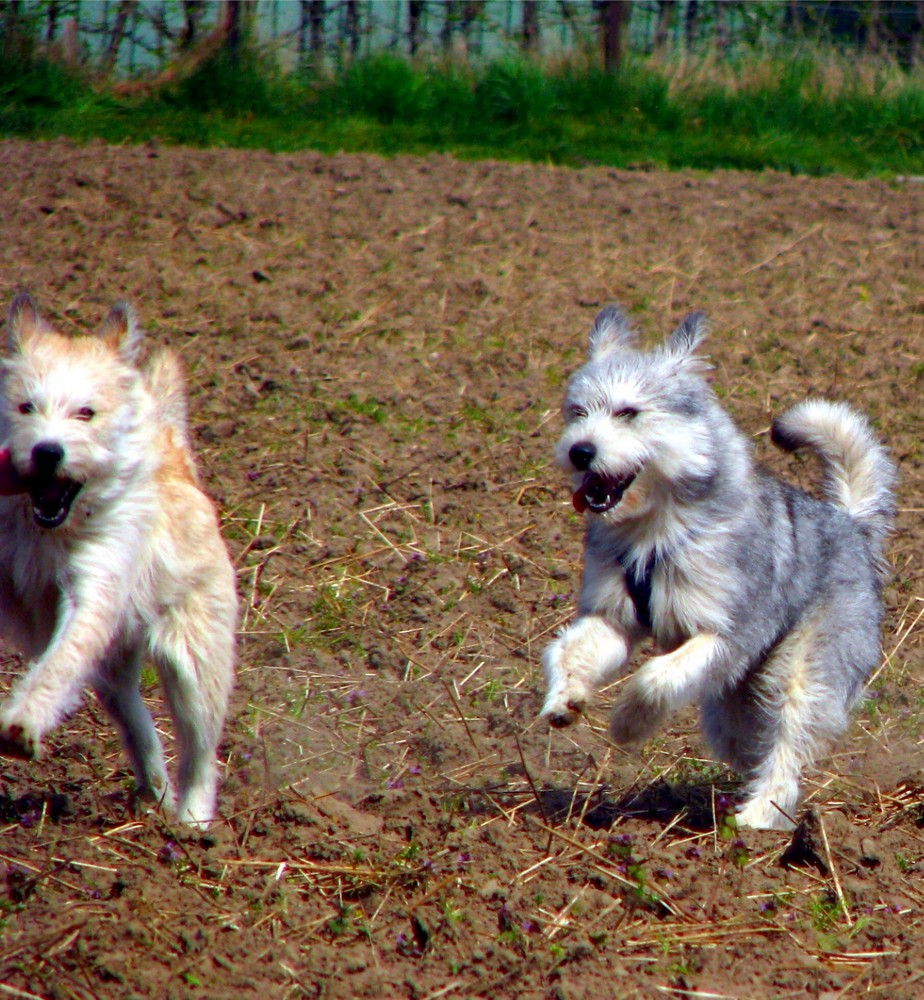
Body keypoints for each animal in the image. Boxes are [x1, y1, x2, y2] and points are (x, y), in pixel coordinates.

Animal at [0, 294, 238, 828]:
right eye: (26, 406)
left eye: (86, 413)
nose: (47, 451)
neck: (50, 529)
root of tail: (177, 458)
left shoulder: (92, 595)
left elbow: (58, 664)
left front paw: (21, 723)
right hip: (113, 675)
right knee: (140, 727)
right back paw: (156, 794)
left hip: (195, 669)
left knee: (201, 752)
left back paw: (192, 822)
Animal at [540, 304, 896, 828]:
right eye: (578, 412)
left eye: (628, 413)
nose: (579, 451)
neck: (656, 531)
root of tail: (851, 523)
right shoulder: (612, 618)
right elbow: (569, 652)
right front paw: (564, 698)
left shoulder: (726, 636)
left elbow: (656, 678)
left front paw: (627, 724)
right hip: (732, 714)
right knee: (755, 747)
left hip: (801, 674)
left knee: (787, 747)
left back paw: (758, 817)